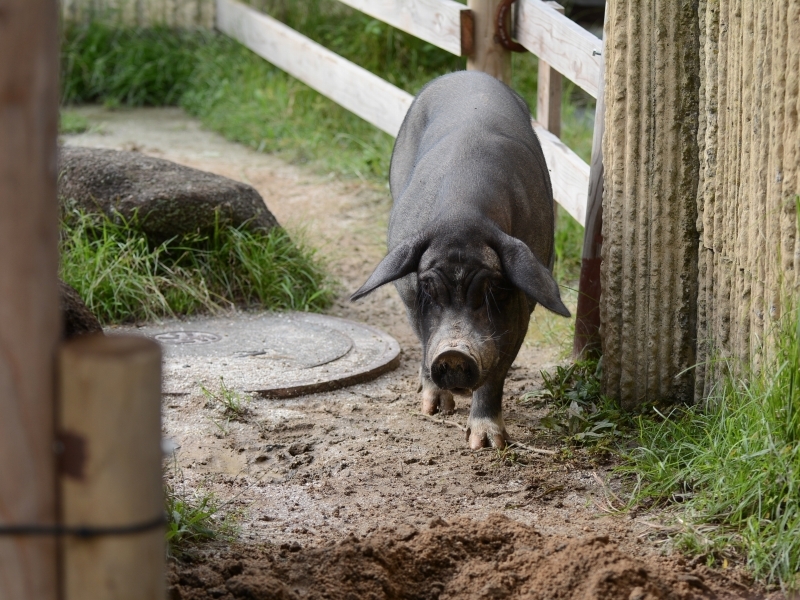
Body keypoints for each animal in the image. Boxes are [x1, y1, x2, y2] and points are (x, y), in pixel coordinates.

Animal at [350, 70, 568, 448]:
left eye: (491, 288)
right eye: (428, 287)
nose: (453, 353)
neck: (461, 214)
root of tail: (467, 73)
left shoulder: (523, 305)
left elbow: (497, 371)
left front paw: (487, 443)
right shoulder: (410, 297)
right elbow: (424, 340)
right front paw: (435, 410)